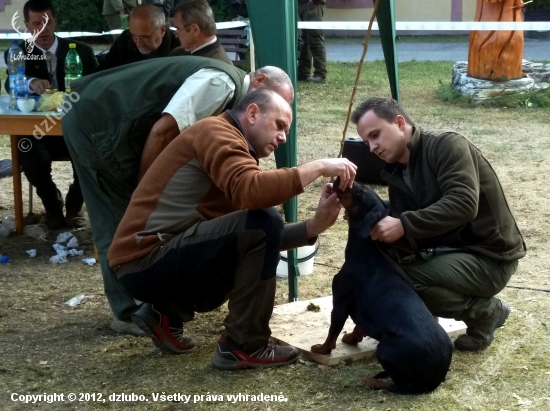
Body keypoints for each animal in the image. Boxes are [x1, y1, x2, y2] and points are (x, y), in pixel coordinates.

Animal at [312, 180, 454, 396]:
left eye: (361, 191)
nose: (339, 179)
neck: (365, 251)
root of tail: (436, 380)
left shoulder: (340, 301)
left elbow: (333, 330)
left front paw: (321, 349)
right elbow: (359, 325)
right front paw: (352, 338)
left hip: (385, 349)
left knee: (402, 387)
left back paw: (374, 382)